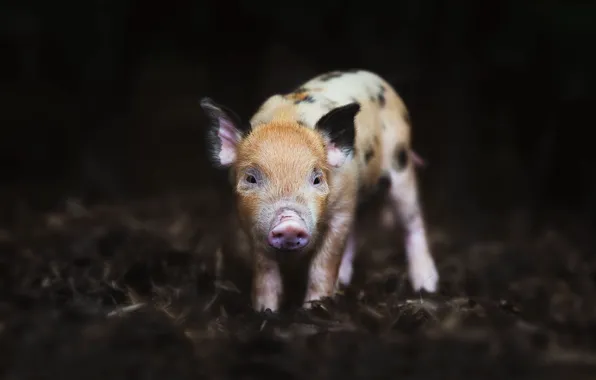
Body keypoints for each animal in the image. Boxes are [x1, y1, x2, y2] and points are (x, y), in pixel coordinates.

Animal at [200, 69, 438, 312]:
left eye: (316, 179)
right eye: (251, 178)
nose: (289, 223)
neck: (285, 120)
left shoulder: (341, 210)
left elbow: (324, 264)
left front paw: (313, 308)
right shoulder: (249, 221)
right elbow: (265, 271)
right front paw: (266, 310)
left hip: (400, 167)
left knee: (412, 222)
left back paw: (427, 284)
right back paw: (344, 281)